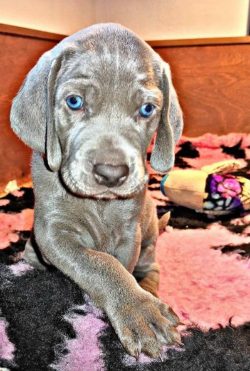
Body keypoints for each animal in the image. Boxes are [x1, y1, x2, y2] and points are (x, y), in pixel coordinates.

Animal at [10, 24, 184, 360]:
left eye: (147, 109)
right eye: (74, 102)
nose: (111, 174)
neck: (98, 204)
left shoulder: (130, 233)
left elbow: (120, 266)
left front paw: (140, 306)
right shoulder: (53, 233)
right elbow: (99, 264)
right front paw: (135, 308)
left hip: (149, 229)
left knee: (151, 266)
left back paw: (151, 292)